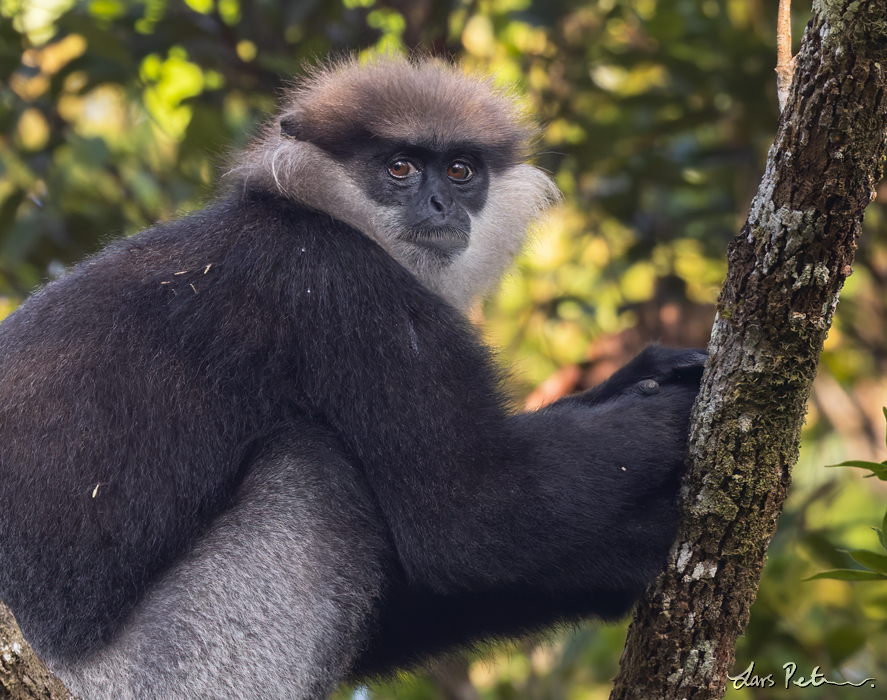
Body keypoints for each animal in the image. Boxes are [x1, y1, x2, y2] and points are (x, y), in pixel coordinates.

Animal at [0, 56, 708, 700]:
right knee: (318, 466)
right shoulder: (340, 287)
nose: (439, 203)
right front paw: (667, 415)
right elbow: (475, 515)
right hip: (166, 674)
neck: (310, 213)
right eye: (399, 168)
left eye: (460, 170)